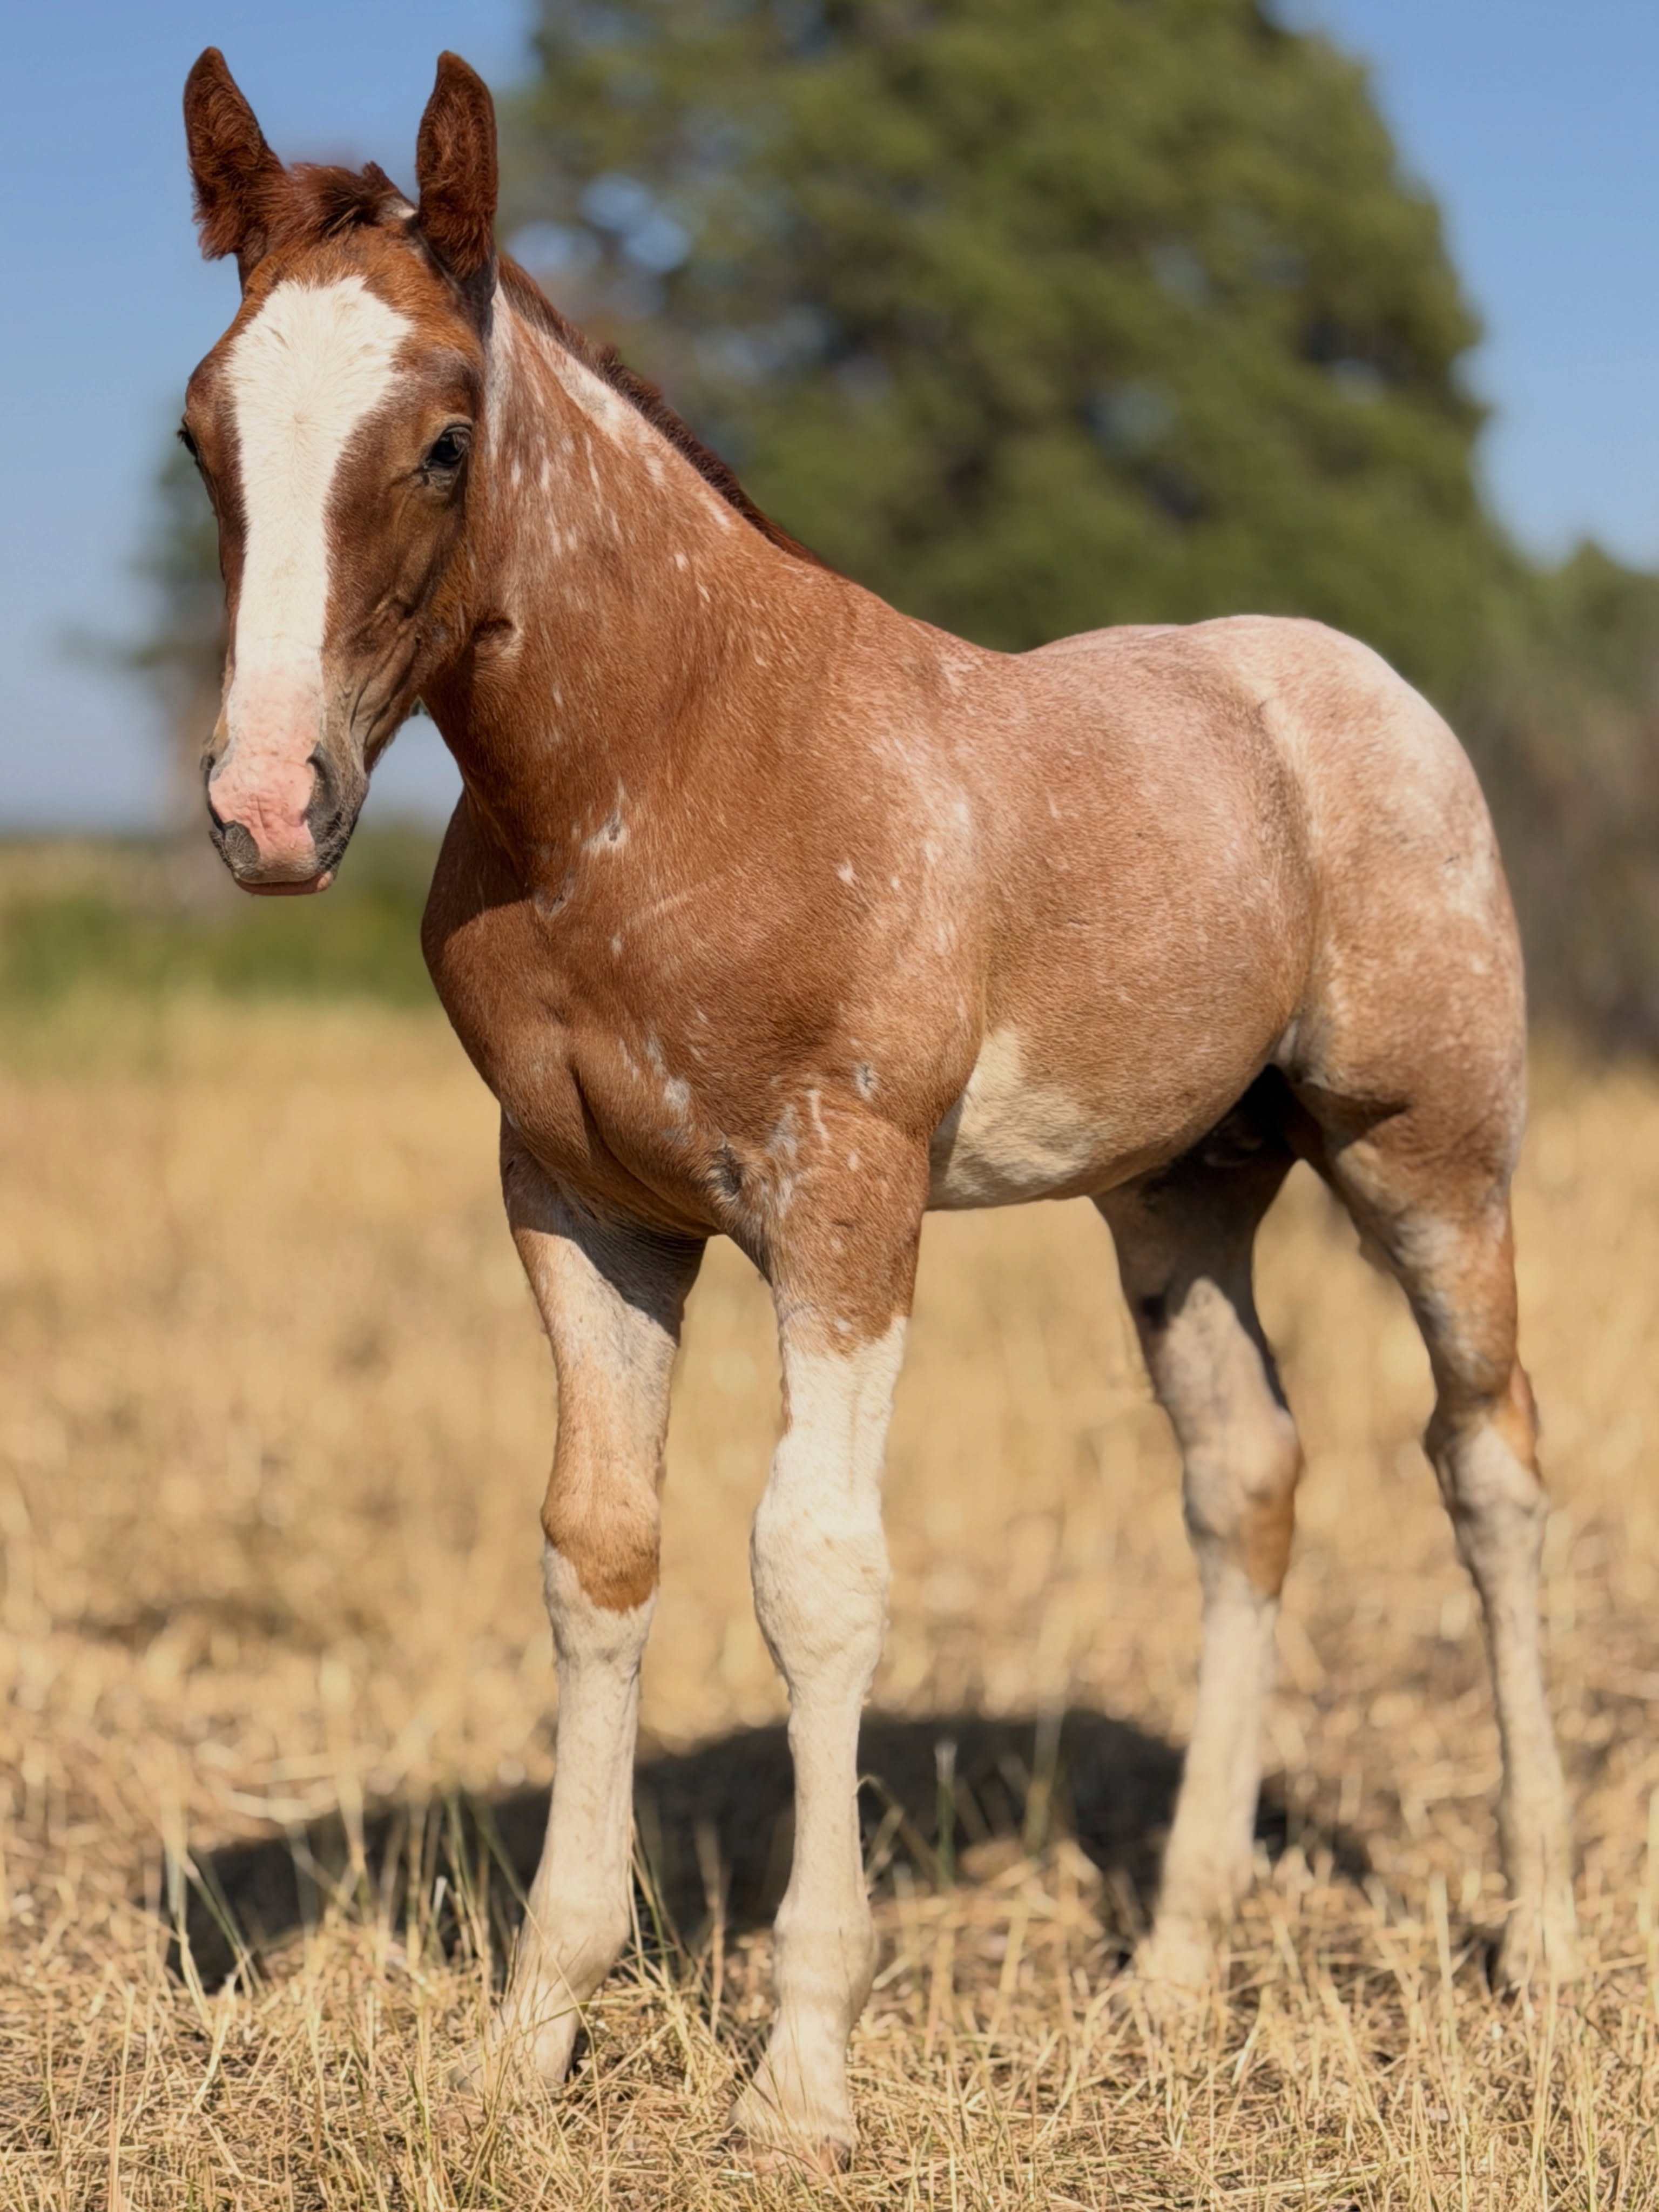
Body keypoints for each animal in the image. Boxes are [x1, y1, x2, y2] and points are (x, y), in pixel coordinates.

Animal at [178, 46, 1577, 2161]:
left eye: (438, 442)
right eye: (203, 438)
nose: (269, 809)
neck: (659, 769)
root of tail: (1349, 682)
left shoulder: (842, 1198)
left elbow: (814, 1573)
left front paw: (800, 2076)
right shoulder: (579, 1205)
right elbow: (598, 1548)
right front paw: (529, 2035)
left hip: (1429, 1150)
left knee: (1487, 1467)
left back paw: (1544, 1931)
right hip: (1180, 1192)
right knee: (1244, 1479)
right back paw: (1173, 1969)